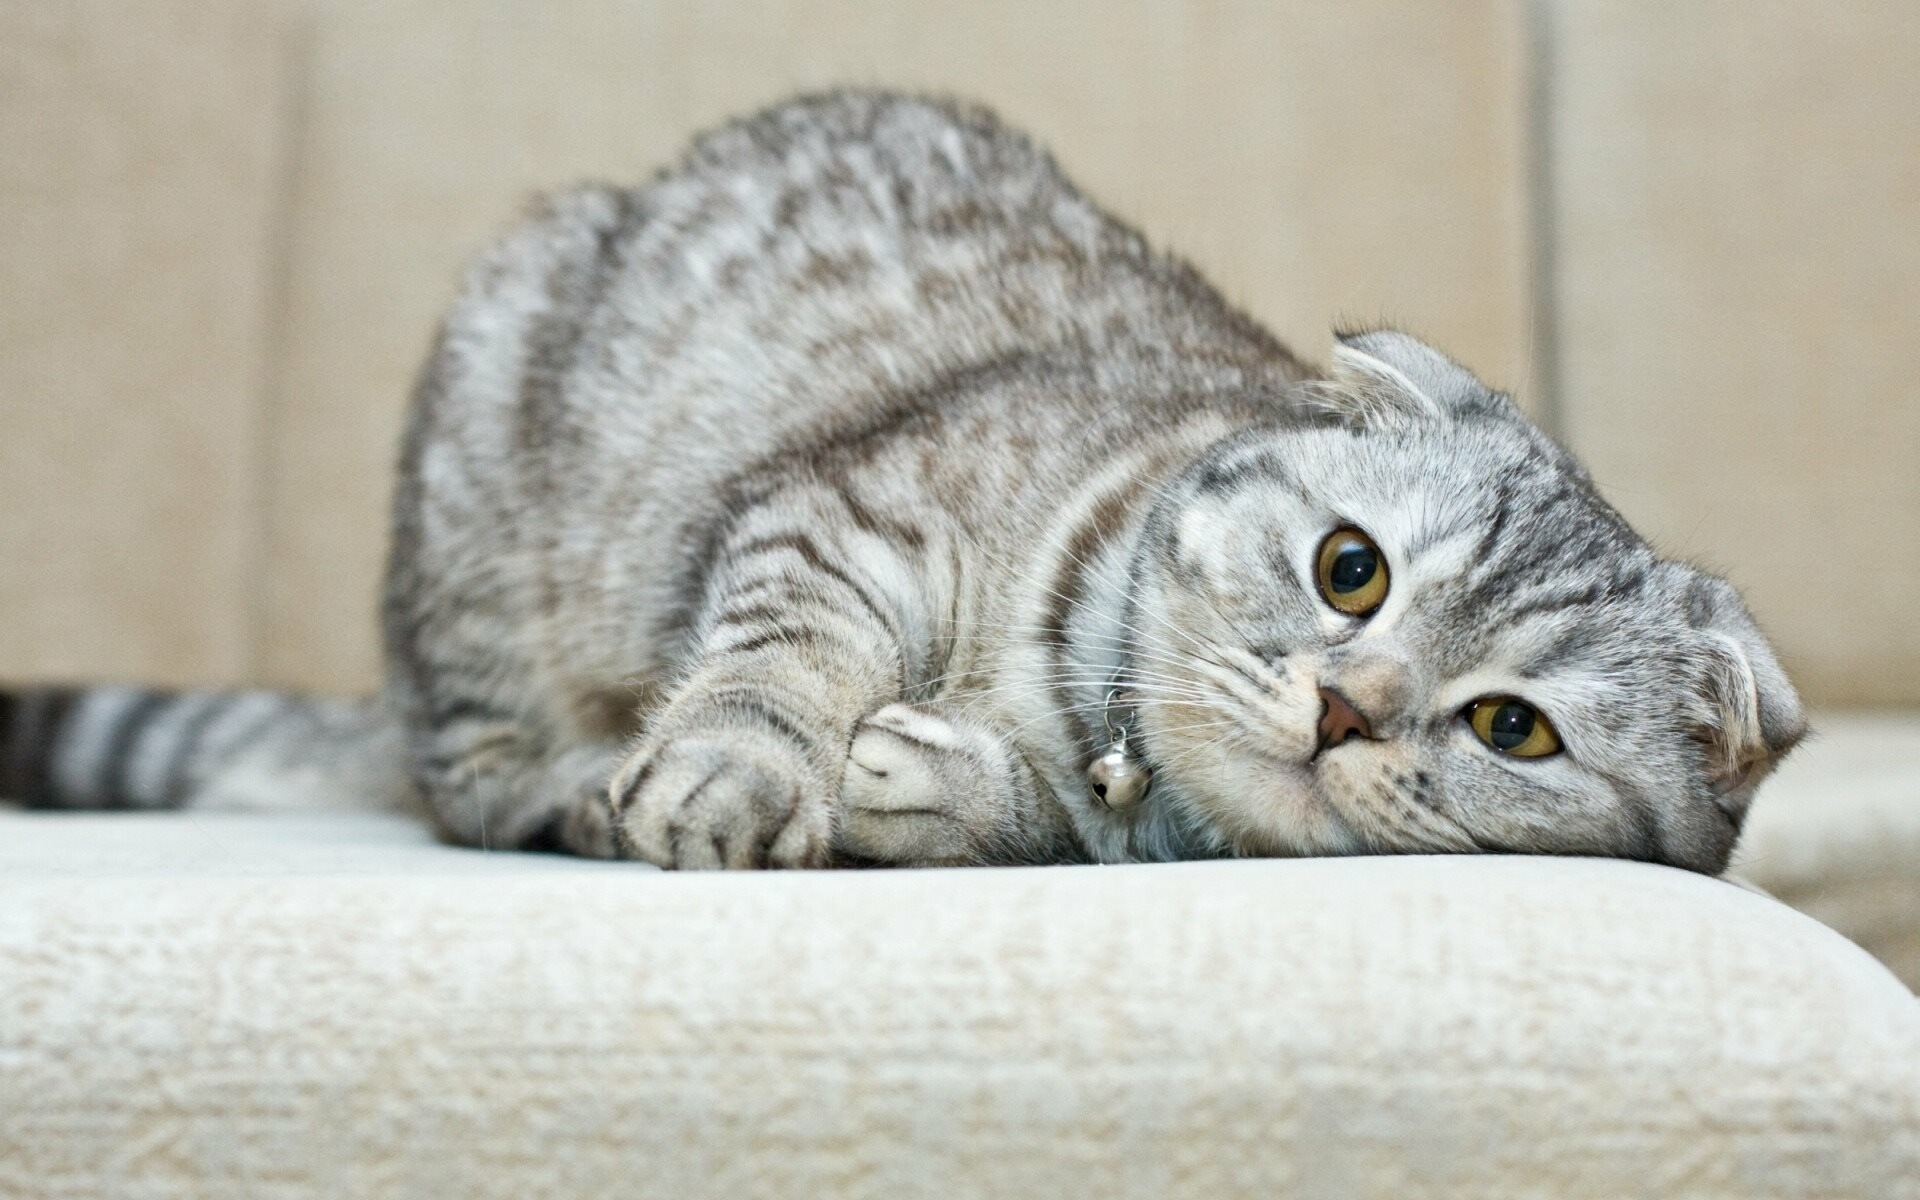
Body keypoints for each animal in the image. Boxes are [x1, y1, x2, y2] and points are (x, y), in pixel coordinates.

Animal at [0, 86, 1804, 871]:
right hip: (486, 513)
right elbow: (774, 662)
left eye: (1512, 728)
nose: (1347, 708)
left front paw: (936, 790)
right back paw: (586, 787)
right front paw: (744, 767)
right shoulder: (851, 515)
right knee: (476, 783)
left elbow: (1026, 823)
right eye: (1348, 568)